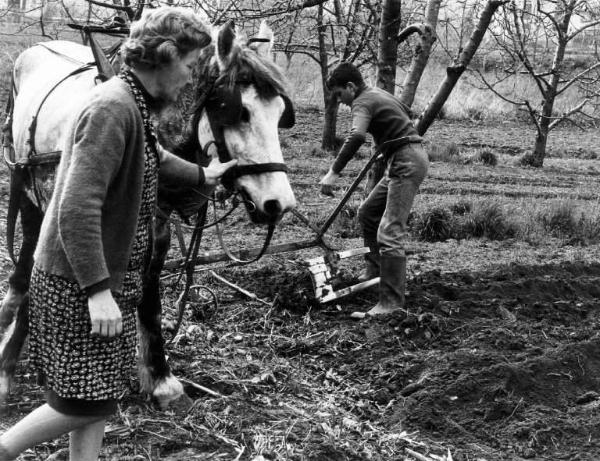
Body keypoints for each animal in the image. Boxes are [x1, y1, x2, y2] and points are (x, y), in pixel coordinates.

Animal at [0, 19, 296, 408]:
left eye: (279, 114)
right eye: (239, 111)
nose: (280, 203)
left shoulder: (157, 227)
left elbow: (150, 297)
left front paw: (158, 376)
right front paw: (9, 364)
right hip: (27, 186)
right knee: (27, 252)